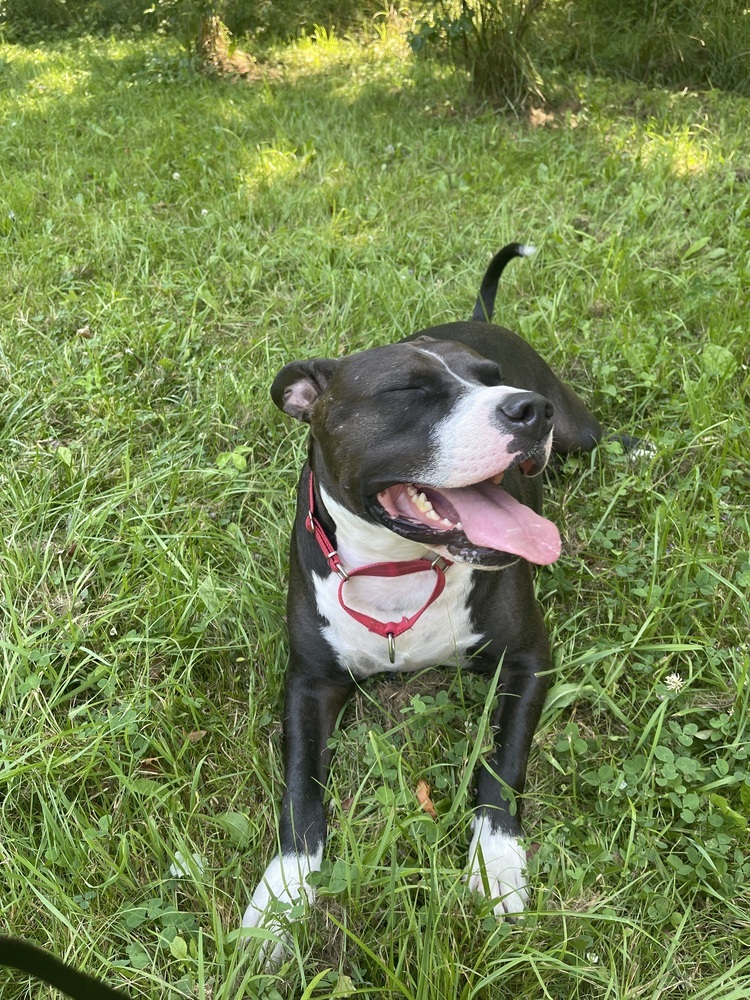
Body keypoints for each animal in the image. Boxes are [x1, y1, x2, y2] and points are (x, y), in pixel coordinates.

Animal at [241, 242, 604, 960]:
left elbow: (501, 768)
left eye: (492, 378)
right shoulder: (310, 683)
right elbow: (300, 792)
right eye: (409, 391)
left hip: (579, 429)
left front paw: (496, 869)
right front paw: (280, 899)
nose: (528, 409)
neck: (399, 567)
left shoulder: (528, 661)